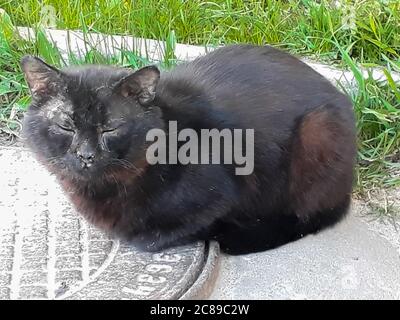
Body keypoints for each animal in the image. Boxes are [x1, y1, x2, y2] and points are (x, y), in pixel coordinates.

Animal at [21, 45, 356, 255]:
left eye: (110, 128)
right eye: (66, 126)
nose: (86, 155)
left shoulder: (220, 193)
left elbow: (151, 237)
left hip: (318, 132)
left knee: (309, 216)